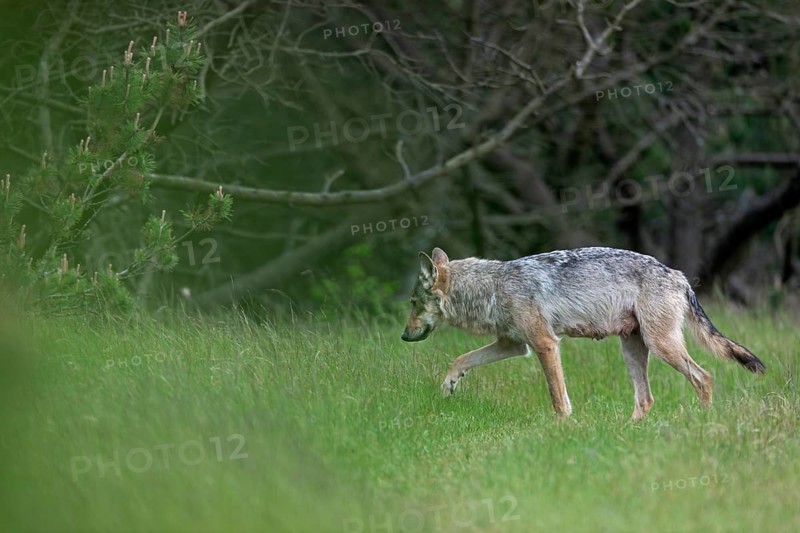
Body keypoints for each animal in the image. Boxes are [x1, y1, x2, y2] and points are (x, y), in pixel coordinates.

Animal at [401, 247, 765, 420]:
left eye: (413, 302)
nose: (404, 336)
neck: (493, 286)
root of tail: (679, 275)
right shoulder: (514, 345)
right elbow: (461, 358)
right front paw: (449, 386)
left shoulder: (545, 344)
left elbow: (557, 397)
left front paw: (563, 428)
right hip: (633, 349)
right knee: (646, 399)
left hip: (661, 346)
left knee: (704, 377)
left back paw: (701, 423)